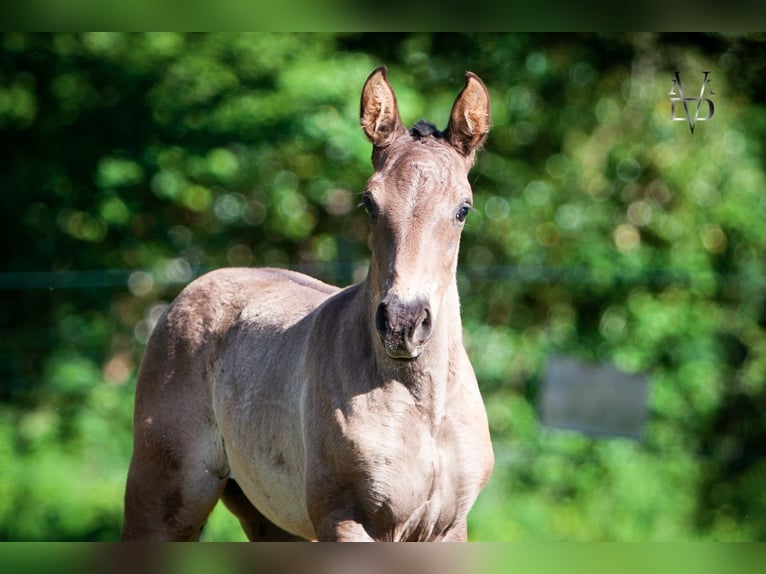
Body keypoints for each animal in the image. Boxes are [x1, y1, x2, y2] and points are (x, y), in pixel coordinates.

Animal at [120, 67, 492, 544]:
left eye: (463, 209)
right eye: (369, 203)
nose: (402, 323)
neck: (421, 408)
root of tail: (189, 293)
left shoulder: (447, 528)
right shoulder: (345, 520)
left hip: (269, 517)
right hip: (164, 497)